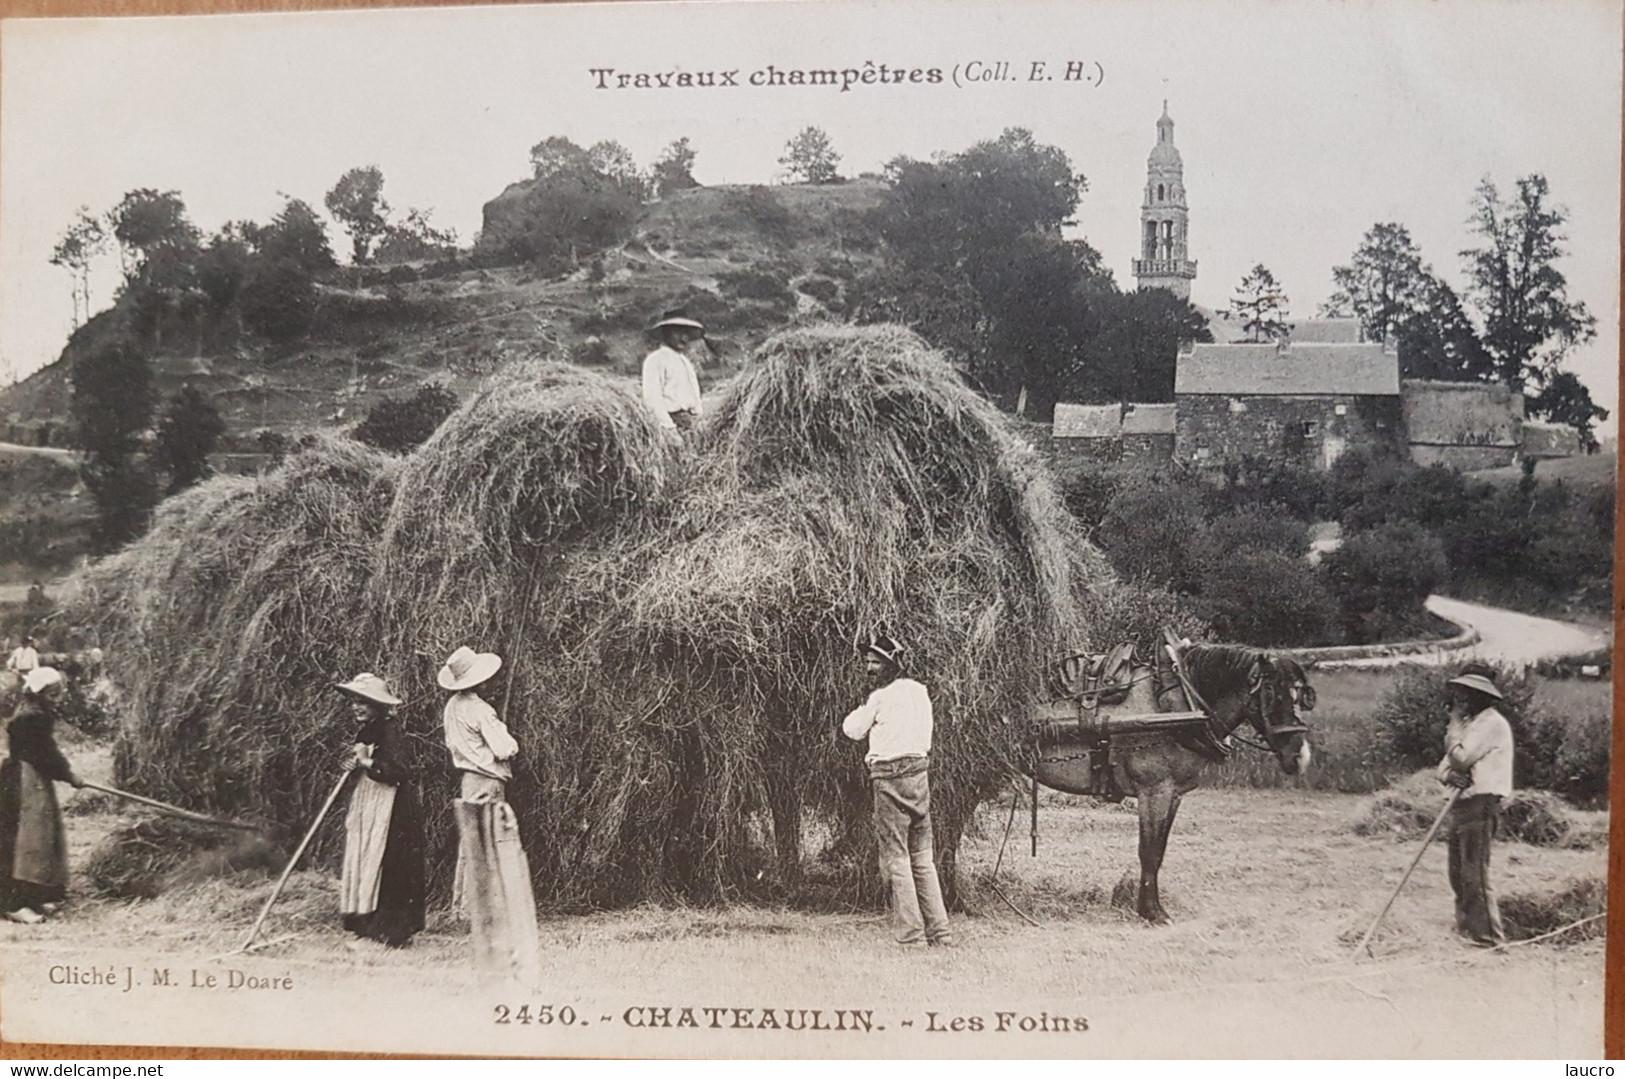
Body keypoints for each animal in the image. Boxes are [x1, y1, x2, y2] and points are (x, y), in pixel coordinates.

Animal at [1033, 643, 1313, 923]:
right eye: (1271, 691)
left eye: (1302, 696)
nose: (1300, 757)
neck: (1178, 705)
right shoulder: (1155, 791)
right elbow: (1149, 851)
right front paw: (1152, 911)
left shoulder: (1174, 794)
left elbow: (1160, 850)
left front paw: (1148, 906)